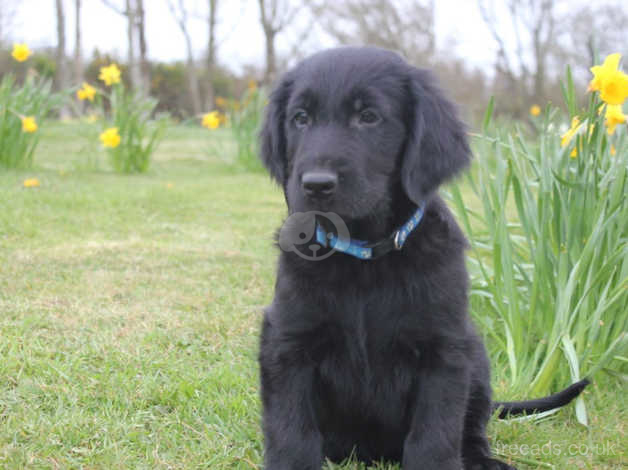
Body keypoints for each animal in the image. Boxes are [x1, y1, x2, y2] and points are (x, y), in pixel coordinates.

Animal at [256, 45, 588, 470]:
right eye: (300, 118)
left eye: (368, 116)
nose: (316, 184)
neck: (364, 259)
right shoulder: (287, 340)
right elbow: (292, 428)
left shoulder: (443, 349)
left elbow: (435, 433)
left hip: (475, 355)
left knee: (472, 426)